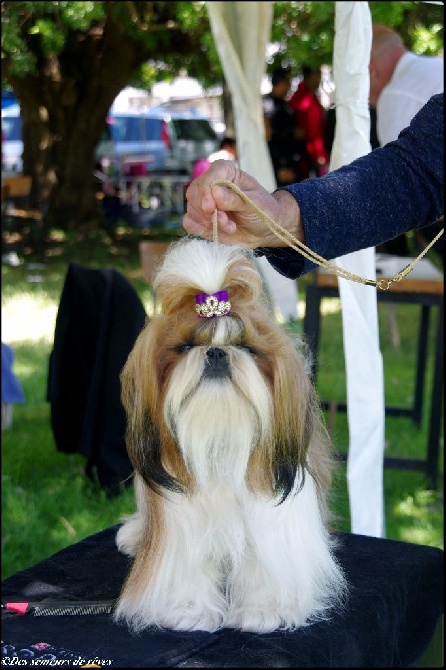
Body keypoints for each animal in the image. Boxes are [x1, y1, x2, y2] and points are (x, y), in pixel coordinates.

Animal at [113, 238, 346, 636]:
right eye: (185, 348)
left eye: (248, 348)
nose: (217, 352)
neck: (220, 442)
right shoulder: (182, 522)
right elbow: (187, 566)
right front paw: (187, 611)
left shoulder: (272, 519)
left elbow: (266, 564)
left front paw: (265, 610)